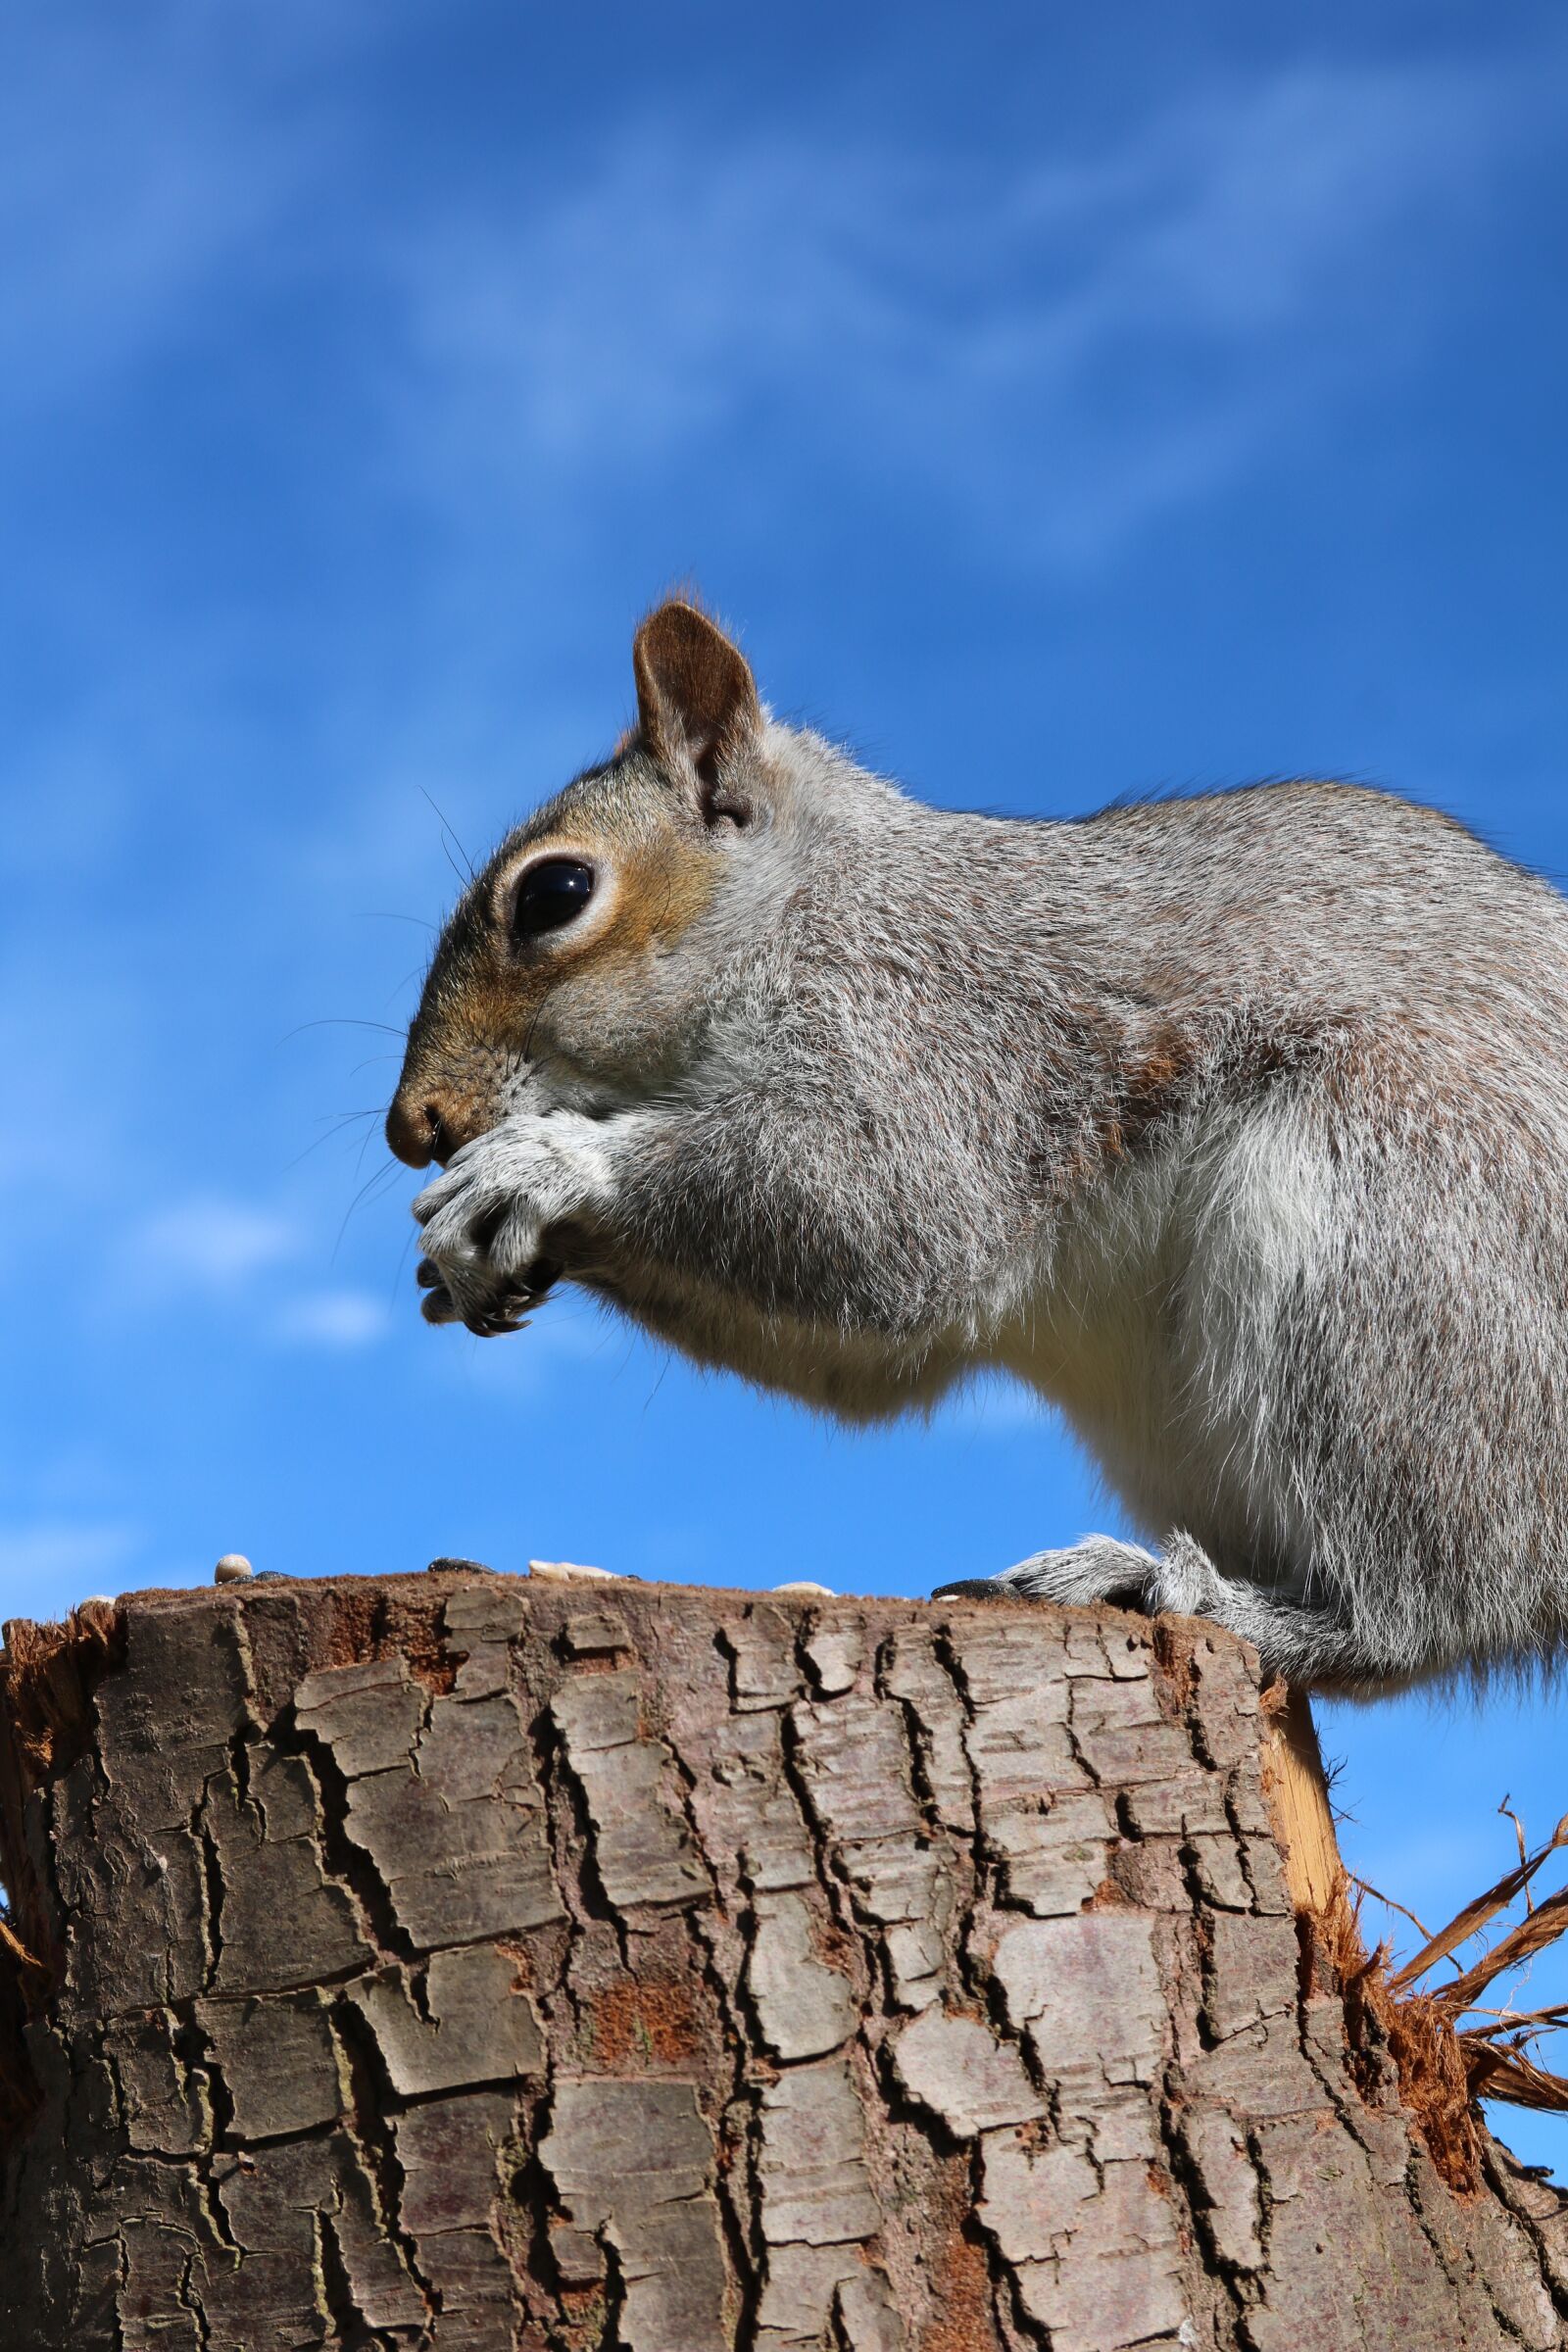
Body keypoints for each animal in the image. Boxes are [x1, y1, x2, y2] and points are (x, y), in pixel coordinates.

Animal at [385, 592, 1568, 1693]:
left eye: (556, 892)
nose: (413, 1128)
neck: (807, 906)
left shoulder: (944, 1033)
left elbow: (878, 1211)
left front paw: (542, 1168)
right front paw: (466, 1262)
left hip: (1388, 1258)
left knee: (1423, 1606)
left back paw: (1185, 1590)